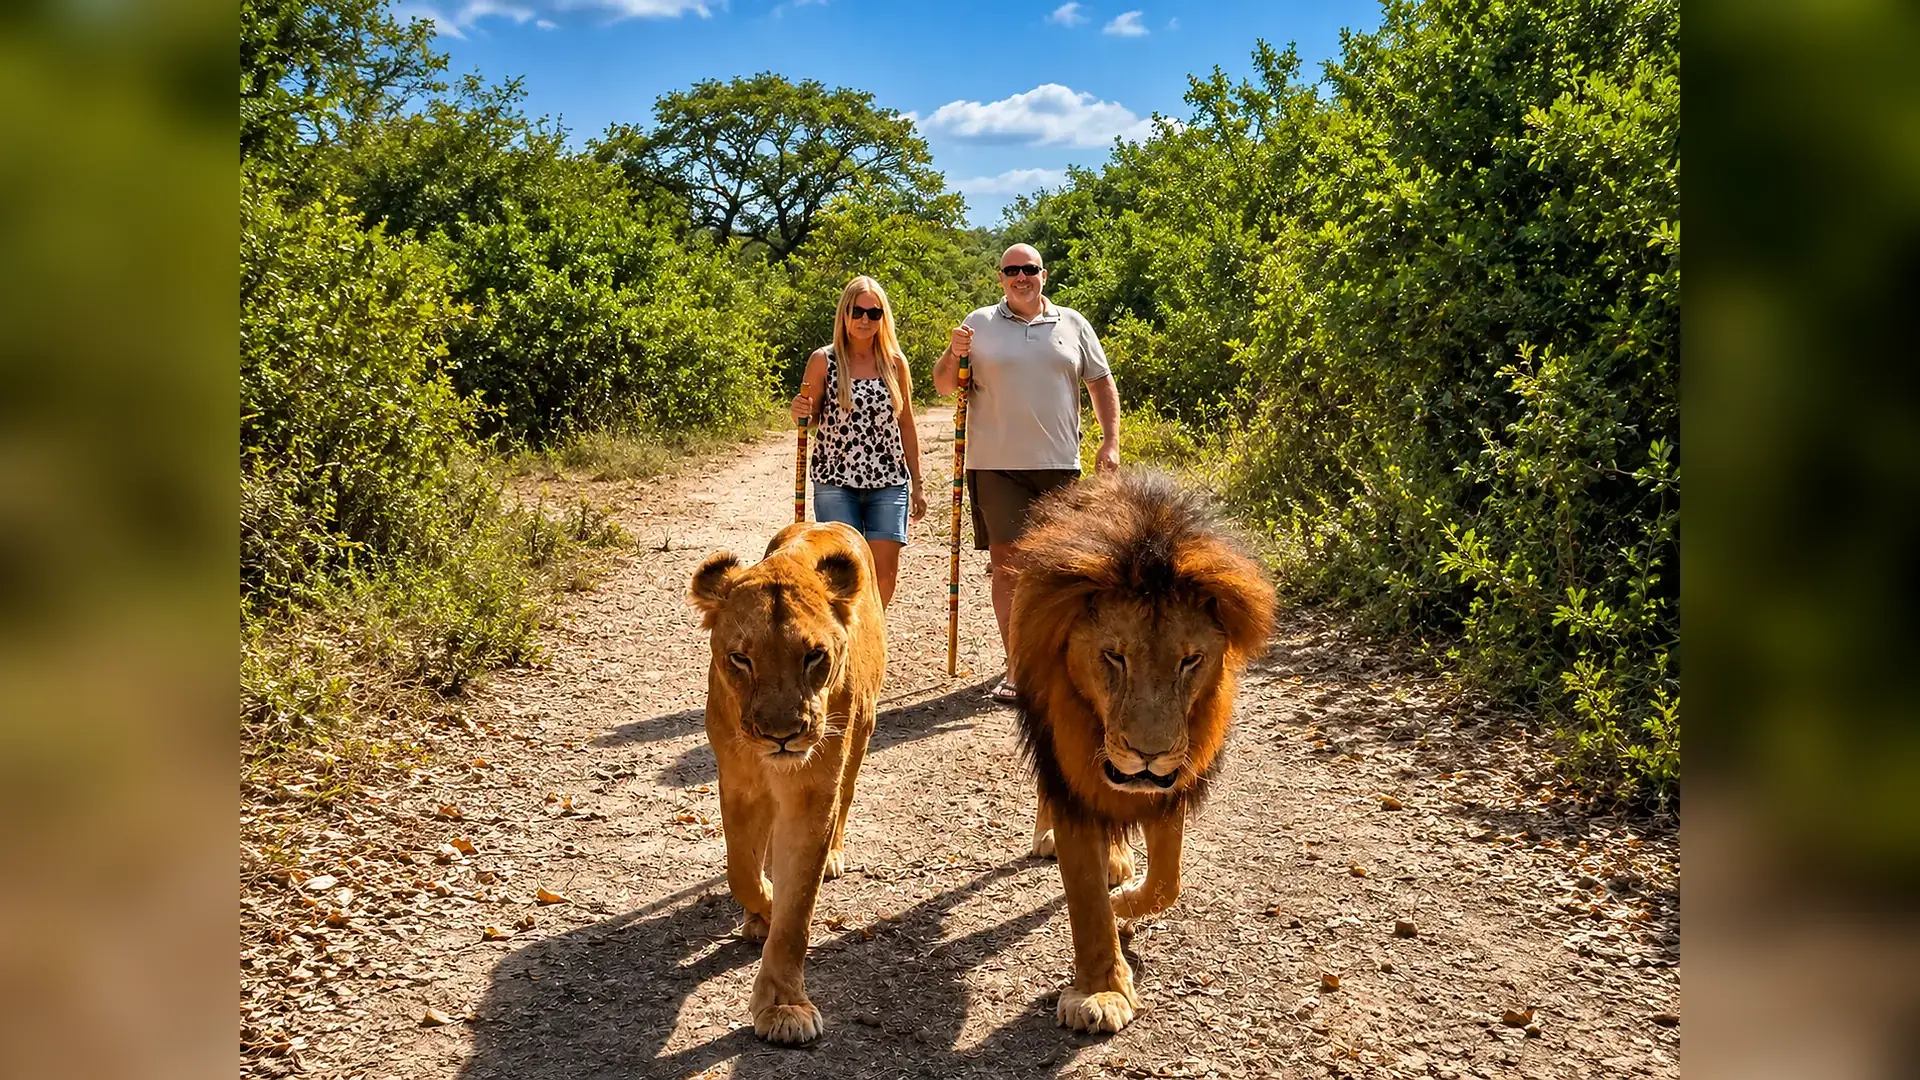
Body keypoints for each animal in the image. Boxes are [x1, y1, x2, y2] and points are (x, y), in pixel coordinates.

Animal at [687, 521, 885, 1045]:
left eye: (814, 656)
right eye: (740, 659)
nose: (782, 736)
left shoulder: (812, 790)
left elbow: (797, 909)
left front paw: (783, 1006)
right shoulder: (738, 781)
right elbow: (740, 869)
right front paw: (763, 906)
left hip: (861, 733)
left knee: (847, 799)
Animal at [1009, 471, 1276, 1034]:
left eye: (1190, 661)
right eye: (1114, 656)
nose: (1147, 754)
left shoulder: (1171, 784)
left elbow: (1167, 881)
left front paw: (1126, 905)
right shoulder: (1069, 775)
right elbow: (1086, 899)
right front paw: (1100, 992)